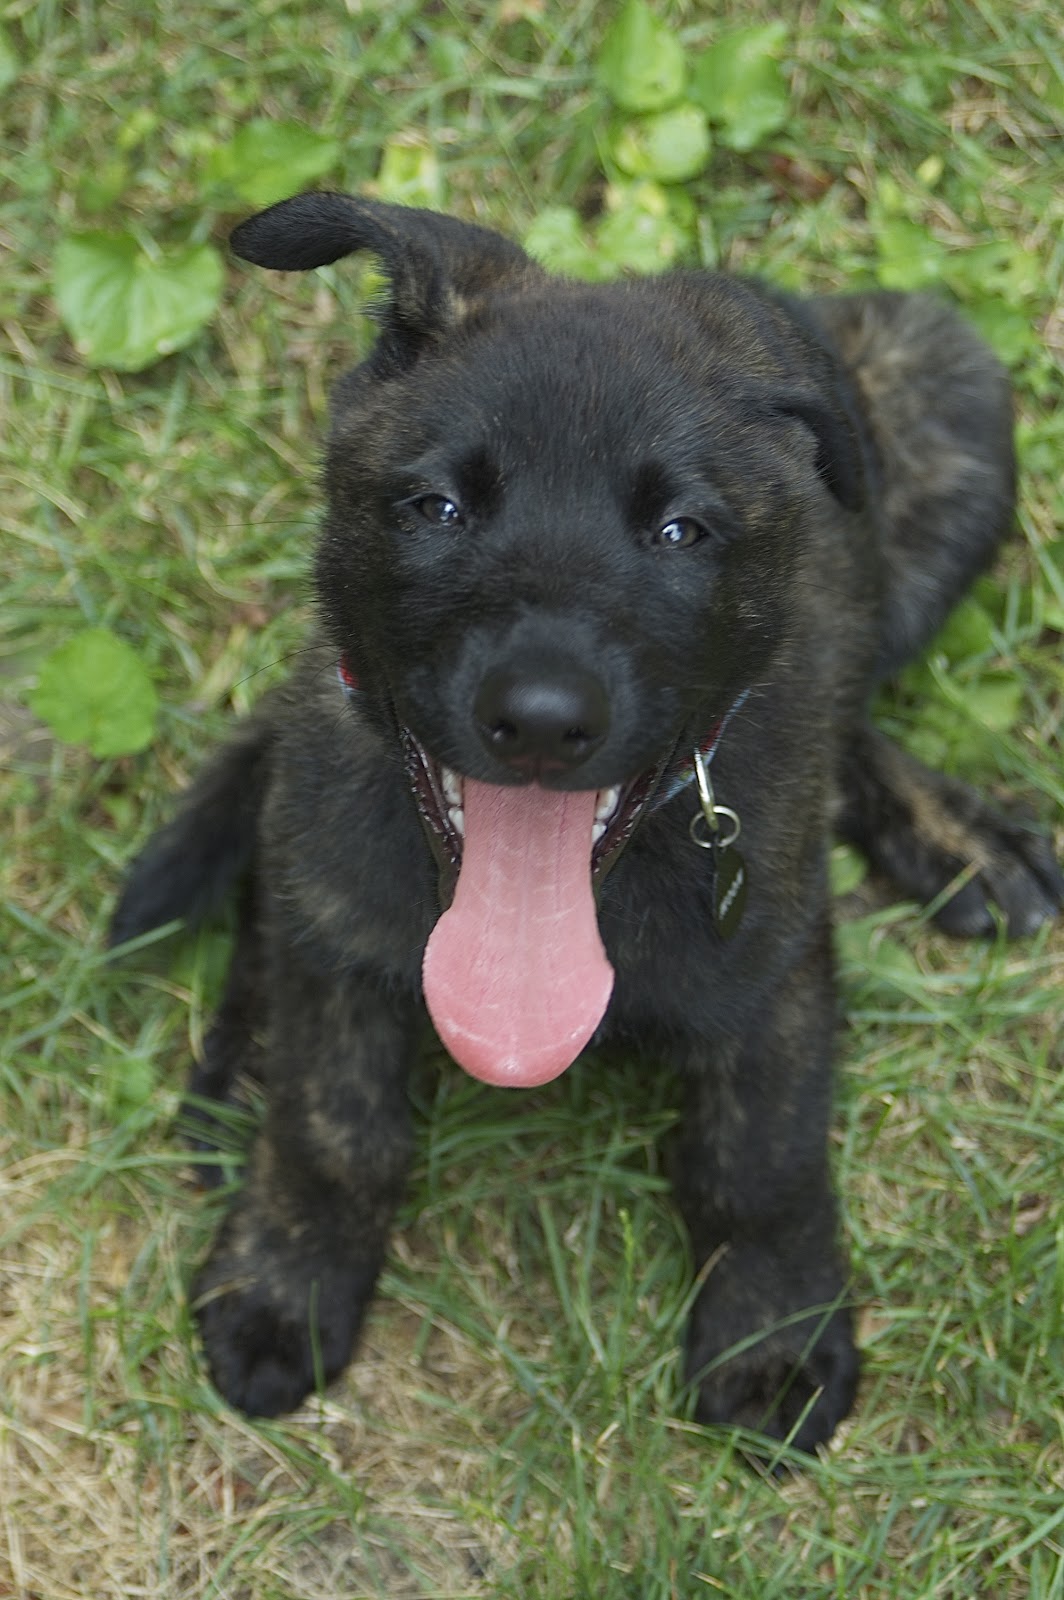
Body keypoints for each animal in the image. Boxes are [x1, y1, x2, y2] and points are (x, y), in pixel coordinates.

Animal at [109, 190, 1062, 1452]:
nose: (541, 721)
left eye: (680, 532)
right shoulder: (342, 936)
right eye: (435, 506)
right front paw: (286, 1283)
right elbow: (333, 1132)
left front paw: (772, 1338)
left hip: (947, 398)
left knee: (856, 704)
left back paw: (960, 837)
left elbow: (757, 1163)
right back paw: (234, 1082)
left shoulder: (772, 975)